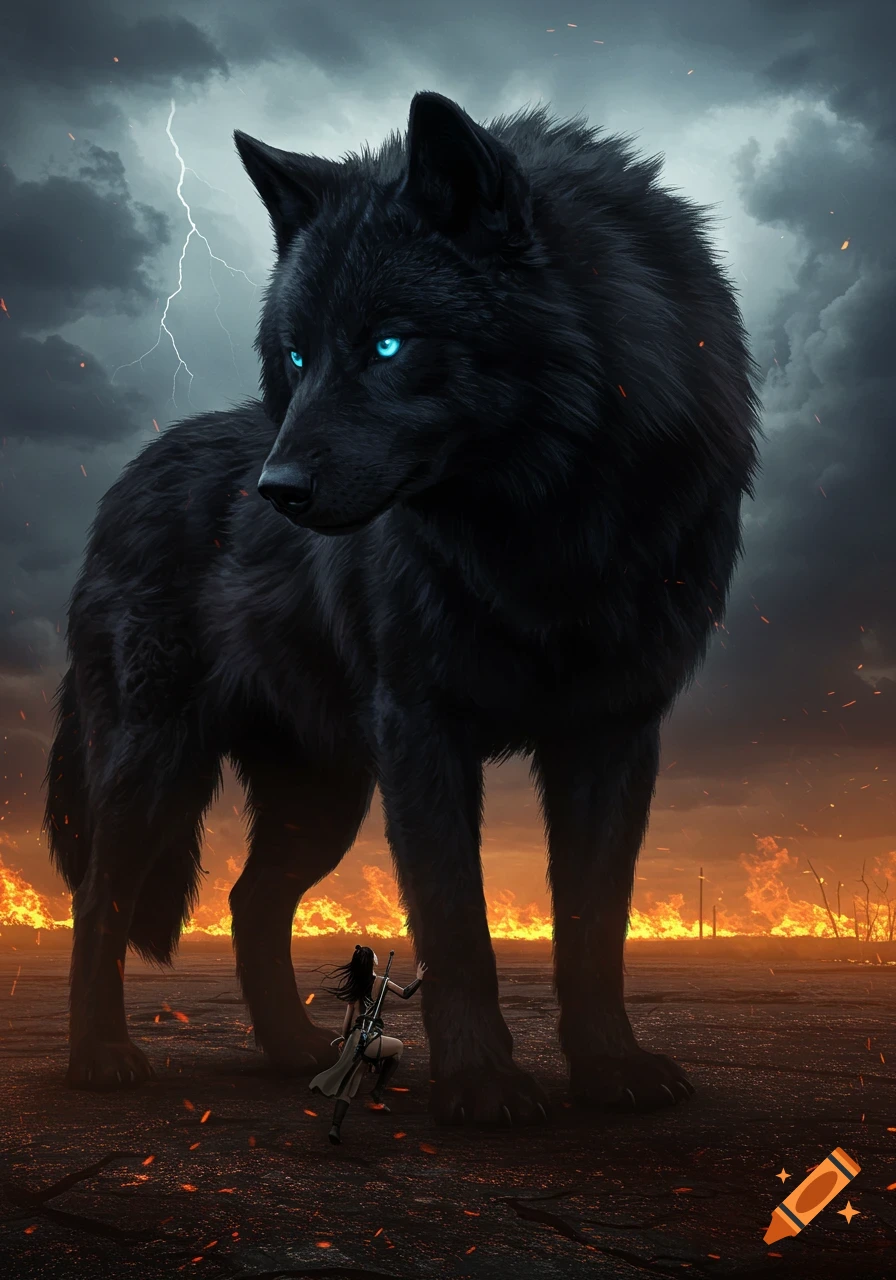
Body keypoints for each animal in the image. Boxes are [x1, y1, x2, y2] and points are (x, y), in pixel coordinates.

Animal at [44, 91, 760, 1124]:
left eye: (388, 343)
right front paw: (483, 1086)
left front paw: (612, 1069)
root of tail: (123, 485)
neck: (547, 529)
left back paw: (294, 1051)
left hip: (322, 798)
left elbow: (594, 927)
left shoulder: (614, 736)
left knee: (250, 903)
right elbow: (458, 924)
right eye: (298, 356)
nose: (276, 493)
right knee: (100, 897)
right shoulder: (423, 728)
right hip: (160, 766)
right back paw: (101, 1058)